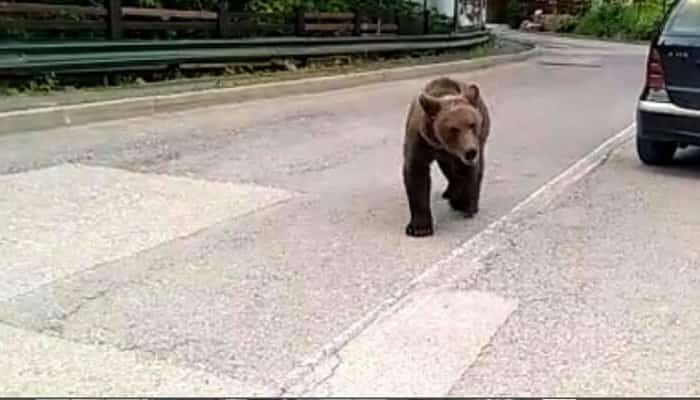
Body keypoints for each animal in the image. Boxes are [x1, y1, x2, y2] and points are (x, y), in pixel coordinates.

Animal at [402, 76, 490, 236]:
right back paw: (450, 192)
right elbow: (416, 176)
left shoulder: (469, 147)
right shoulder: (420, 141)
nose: (471, 151)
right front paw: (419, 227)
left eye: (472, 124)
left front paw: (464, 204)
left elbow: (468, 173)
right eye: (454, 129)